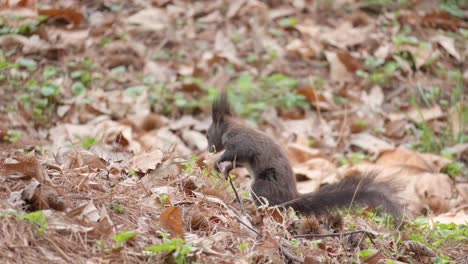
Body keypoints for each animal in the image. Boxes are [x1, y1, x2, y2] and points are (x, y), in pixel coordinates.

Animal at [207, 91, 404, 219]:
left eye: (208, 135)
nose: (209, 149)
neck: (231, 127)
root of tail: (291, 197)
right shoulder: (241, 157)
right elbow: (236, 162)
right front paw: (226, 170)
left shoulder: (241, 143)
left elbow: (234, 153)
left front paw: (217, 163)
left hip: (262, 186)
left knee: (273, 206)